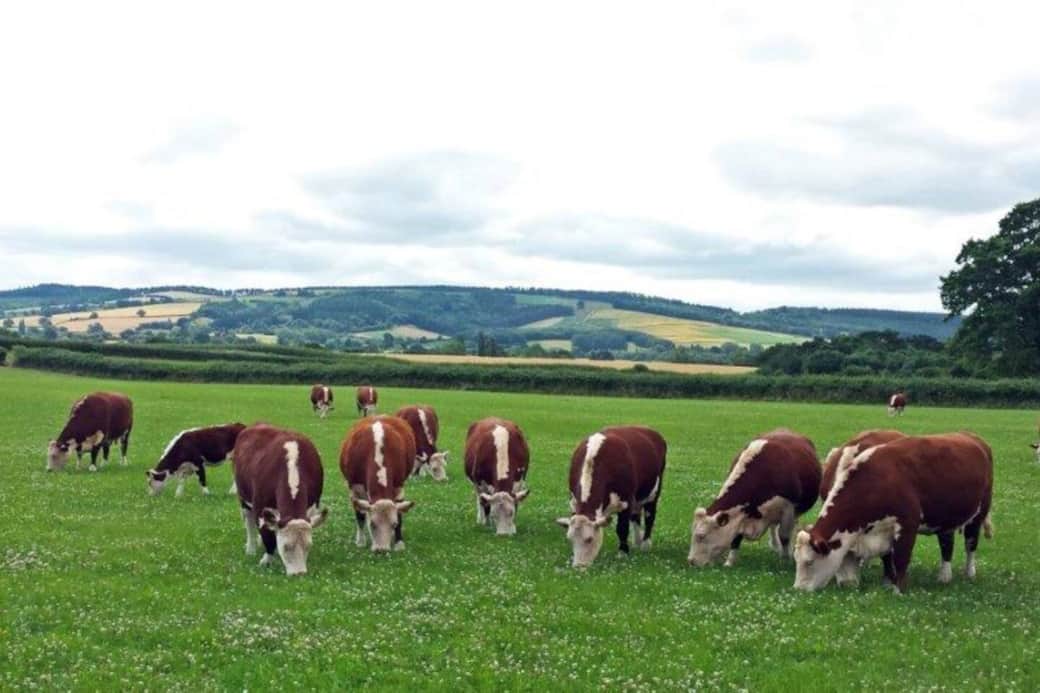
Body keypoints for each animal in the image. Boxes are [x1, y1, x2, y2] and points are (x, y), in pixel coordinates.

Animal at [233, 424, 328, 576]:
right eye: (286, 546)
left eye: (308, 546)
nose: (299, 574)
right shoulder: (260, 509)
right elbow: (268, 537)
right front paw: (266, 560)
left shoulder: (312, 508)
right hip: (243, 499)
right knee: (249, 524)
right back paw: (251, 548)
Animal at [340, 416, 416, 552]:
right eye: (373, 524)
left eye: (394, 524)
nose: (382, 550)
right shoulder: (355, 488)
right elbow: (360, 515)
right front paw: (361, 541)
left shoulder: (399, 487)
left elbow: (399, 514)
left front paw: (399, 543)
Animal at [555, 426, 666, 568]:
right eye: (570, 539)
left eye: (589, 539)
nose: (579, 566)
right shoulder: (574, 502)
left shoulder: (626, 502)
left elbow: (622, 528)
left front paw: (623, 553)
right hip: (637, 498)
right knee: (636, 516)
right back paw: (637, 541)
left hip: (653, 492)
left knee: (649, 516)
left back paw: (645, 545)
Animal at [688, 429, 820, 568]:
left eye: (701, 536)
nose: (691, 561)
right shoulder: (741, 515)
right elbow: (736, 538)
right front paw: (729, 562)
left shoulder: (788, 508)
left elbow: (784, 535)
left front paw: (785, 559)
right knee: (773, 526)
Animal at [793, 432, 993, 594]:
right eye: (796, 560)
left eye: (809, 562)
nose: (799, 589)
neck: (878, 479)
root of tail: (971, 437)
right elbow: (888, 557)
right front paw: (888, 582)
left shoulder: (907, 526)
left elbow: (901, 557)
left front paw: (898, 590)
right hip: (945, 519)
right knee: (946, 544)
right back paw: (944, 576)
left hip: (978, 515)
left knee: (970, 544)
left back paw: (969, 573)